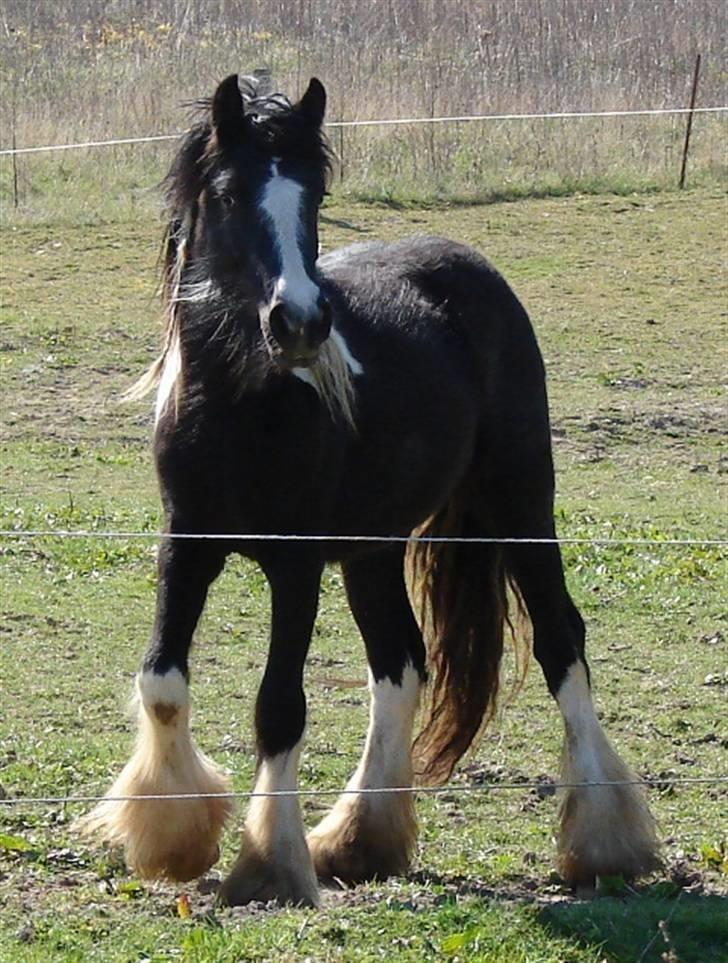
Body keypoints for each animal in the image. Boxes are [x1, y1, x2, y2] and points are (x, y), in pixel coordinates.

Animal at [78, 73, 660, 904]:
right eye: (228, 192)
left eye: (315, 192)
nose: (299, 322)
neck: (242, 406)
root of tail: (471, 269)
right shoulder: (185, 545)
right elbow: (161, 681)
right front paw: (173, 837)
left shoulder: (294, 565)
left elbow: (278, 706)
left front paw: (269, 862)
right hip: (373, 549)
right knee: (401, 662)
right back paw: (360, 839)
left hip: (519, 504)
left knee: (561, 642)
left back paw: (606, 842)